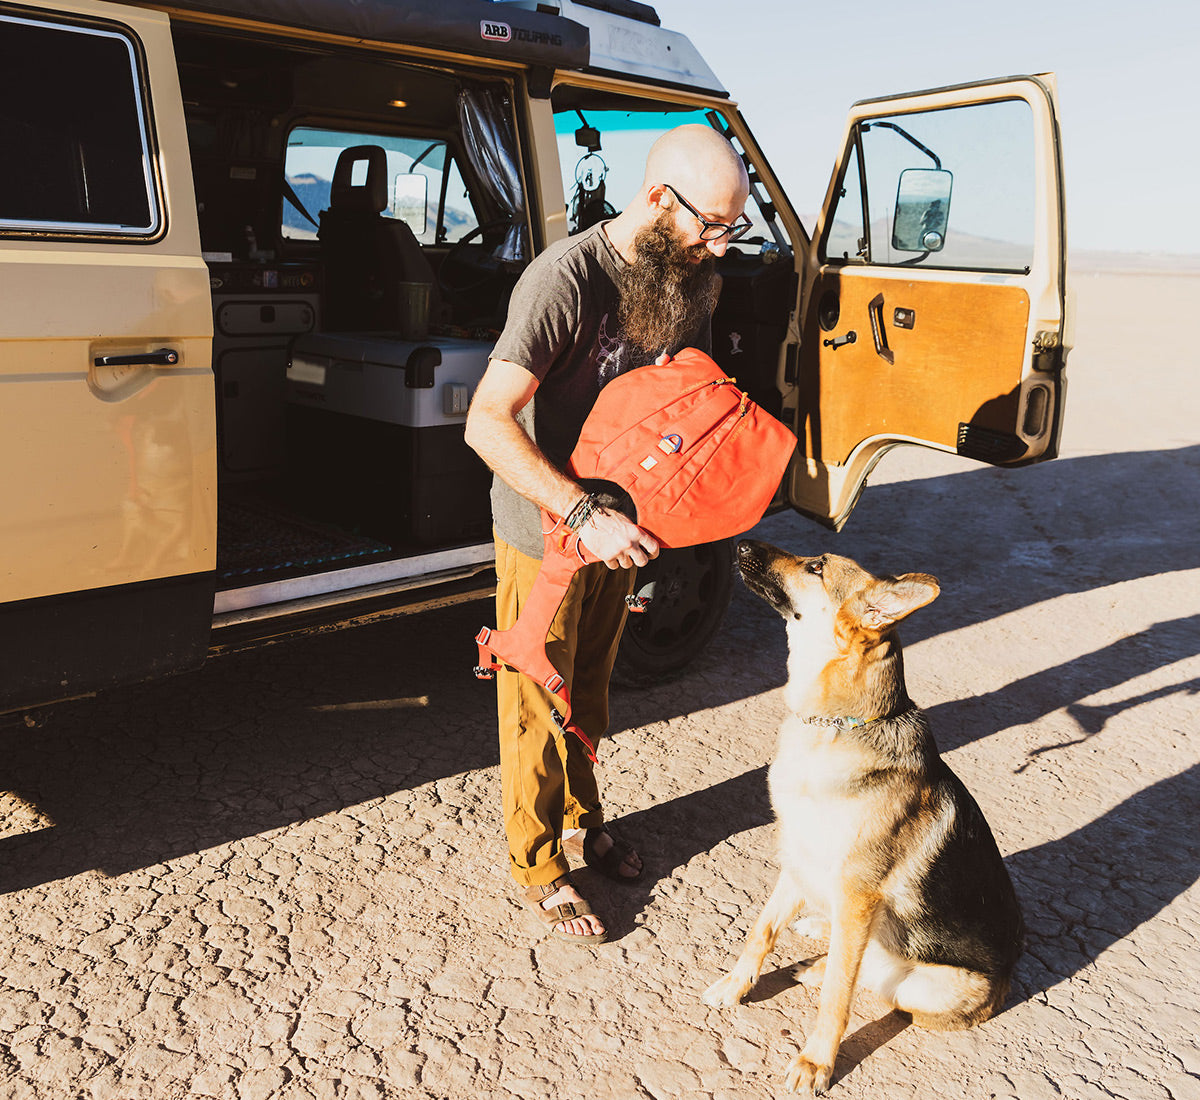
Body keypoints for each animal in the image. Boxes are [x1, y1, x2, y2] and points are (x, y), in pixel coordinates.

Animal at [700, 539, 1022, 1089]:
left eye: (816, 567)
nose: (738, 543)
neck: (836, 725)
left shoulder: (856, 891)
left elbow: (838, 993)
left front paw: (816, 1062)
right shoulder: (797, 857)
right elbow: (761, 932)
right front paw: (735, 984)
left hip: (928, 986)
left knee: (875, 980)